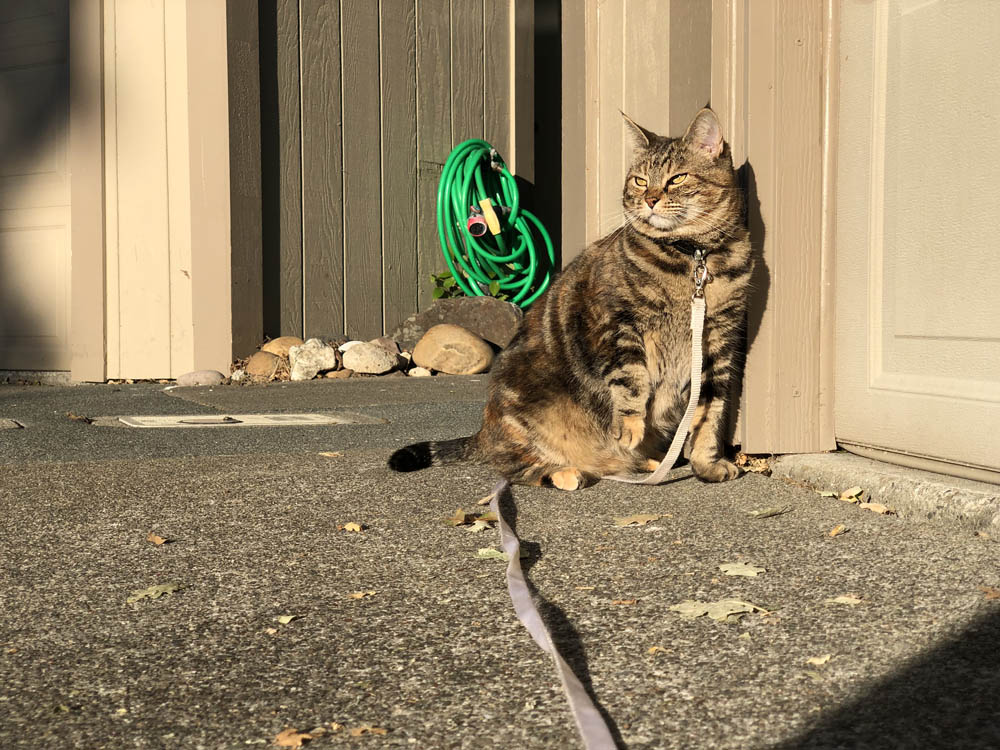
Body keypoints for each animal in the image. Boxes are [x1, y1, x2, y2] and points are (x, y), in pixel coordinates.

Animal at [389, 108, 753, 490]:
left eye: (677, 178)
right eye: (640, 181)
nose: (650, 199)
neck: (695, 257)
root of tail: (485, 430)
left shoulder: (719, 342)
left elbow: (711, 411)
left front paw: (707, 464)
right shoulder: (618, 325)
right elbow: (631, 381)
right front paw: (630, 428)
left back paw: (648, 461)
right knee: (511, 465)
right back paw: (568, 471)